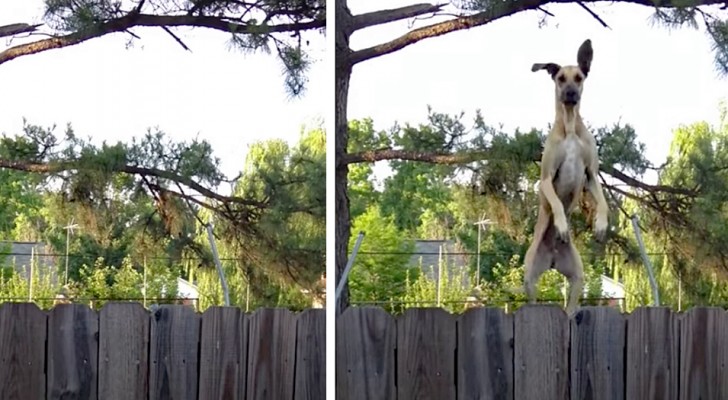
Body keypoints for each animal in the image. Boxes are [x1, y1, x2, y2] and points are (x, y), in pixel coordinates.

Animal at [524, 39, 608, 316]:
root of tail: (552, 260)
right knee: (532, 300)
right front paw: (561, 226)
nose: (570, 93)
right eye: (560, 78)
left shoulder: (591, 174)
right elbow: (557, 203)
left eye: (579, 77)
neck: (570, 127)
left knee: (571, 307)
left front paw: (601, 225)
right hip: (529, 277)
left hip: (577, 277)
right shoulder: (546, 179)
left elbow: (603, 203)